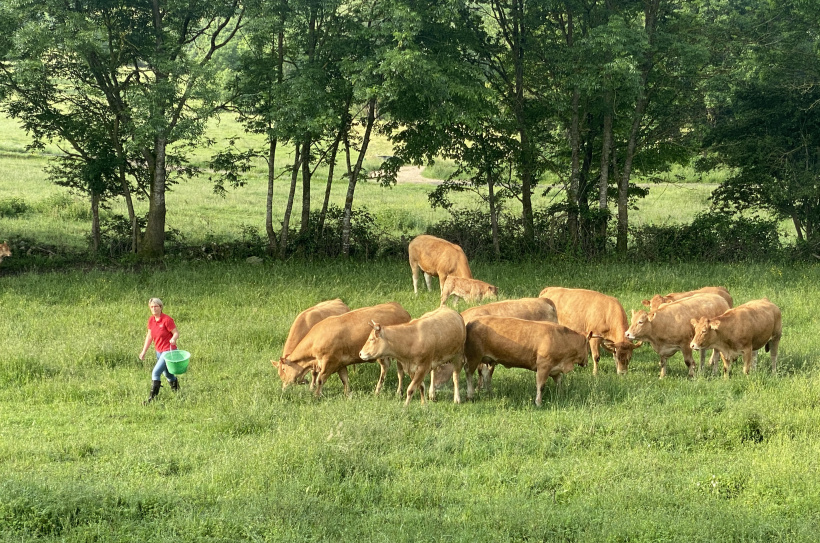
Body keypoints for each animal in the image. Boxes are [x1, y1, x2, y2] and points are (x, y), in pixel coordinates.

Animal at [274, 302, 410, 400]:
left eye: (284, 369)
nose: (283, 388)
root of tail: (400, 308)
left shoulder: (329, 362)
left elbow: (320, 379)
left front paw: (316, 395)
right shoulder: (340, 363)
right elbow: (344, 379)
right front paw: (347, 394)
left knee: (400, 372)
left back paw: (398, 392)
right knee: (386, 368)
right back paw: (378, 391)